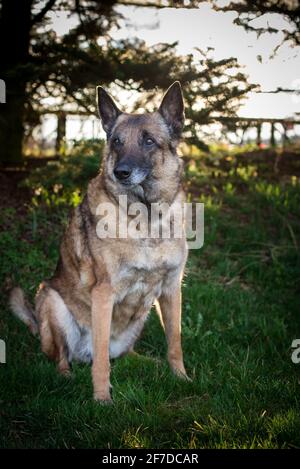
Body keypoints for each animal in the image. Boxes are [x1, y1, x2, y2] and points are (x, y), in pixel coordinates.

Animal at [9, 81, 190, 402]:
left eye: (149, 141)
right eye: (117, 142)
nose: (121, 172)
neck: (146, 218)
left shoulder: (171, 289)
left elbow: (174, 342)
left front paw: (181, 377)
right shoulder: (104, 294)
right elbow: (103, 357)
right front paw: (102, 399)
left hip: (141, 317)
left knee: (125, 353)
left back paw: (149, 363)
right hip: (51, 300)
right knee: (65, 356)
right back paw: (66, 375)